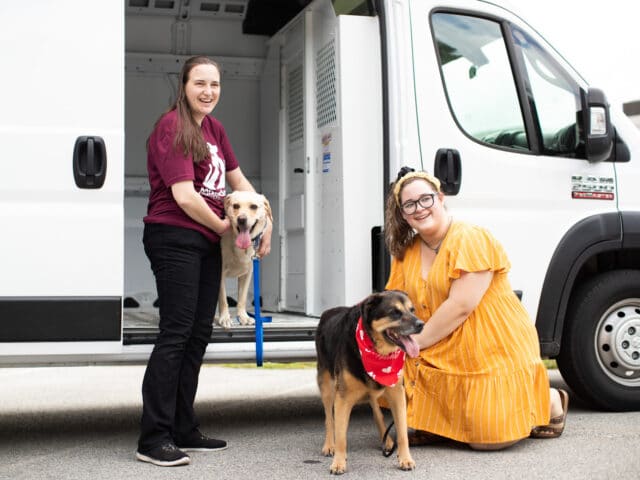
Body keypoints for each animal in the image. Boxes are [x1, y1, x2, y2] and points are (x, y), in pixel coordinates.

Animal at [218, 191, 272, 330]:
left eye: (253, 206)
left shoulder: (247, 274)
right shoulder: (219, 273)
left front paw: (243, 317)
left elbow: (241, 299)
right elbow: (223, 299)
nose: (241, 219)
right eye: (236, 206)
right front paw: (224, 318)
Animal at [316, 290, 424, 474]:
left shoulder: (397, 394)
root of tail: (327, 312)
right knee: (329, 418)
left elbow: (402, 432)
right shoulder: (342, 398)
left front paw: (405, 459)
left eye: (412, 310)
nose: (421, 324)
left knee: (377, 412)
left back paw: (386, 441)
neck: (377, 352)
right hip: (327, 387)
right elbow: (341, 435)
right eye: (395, 312)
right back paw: (329, 445)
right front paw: (339, 462)